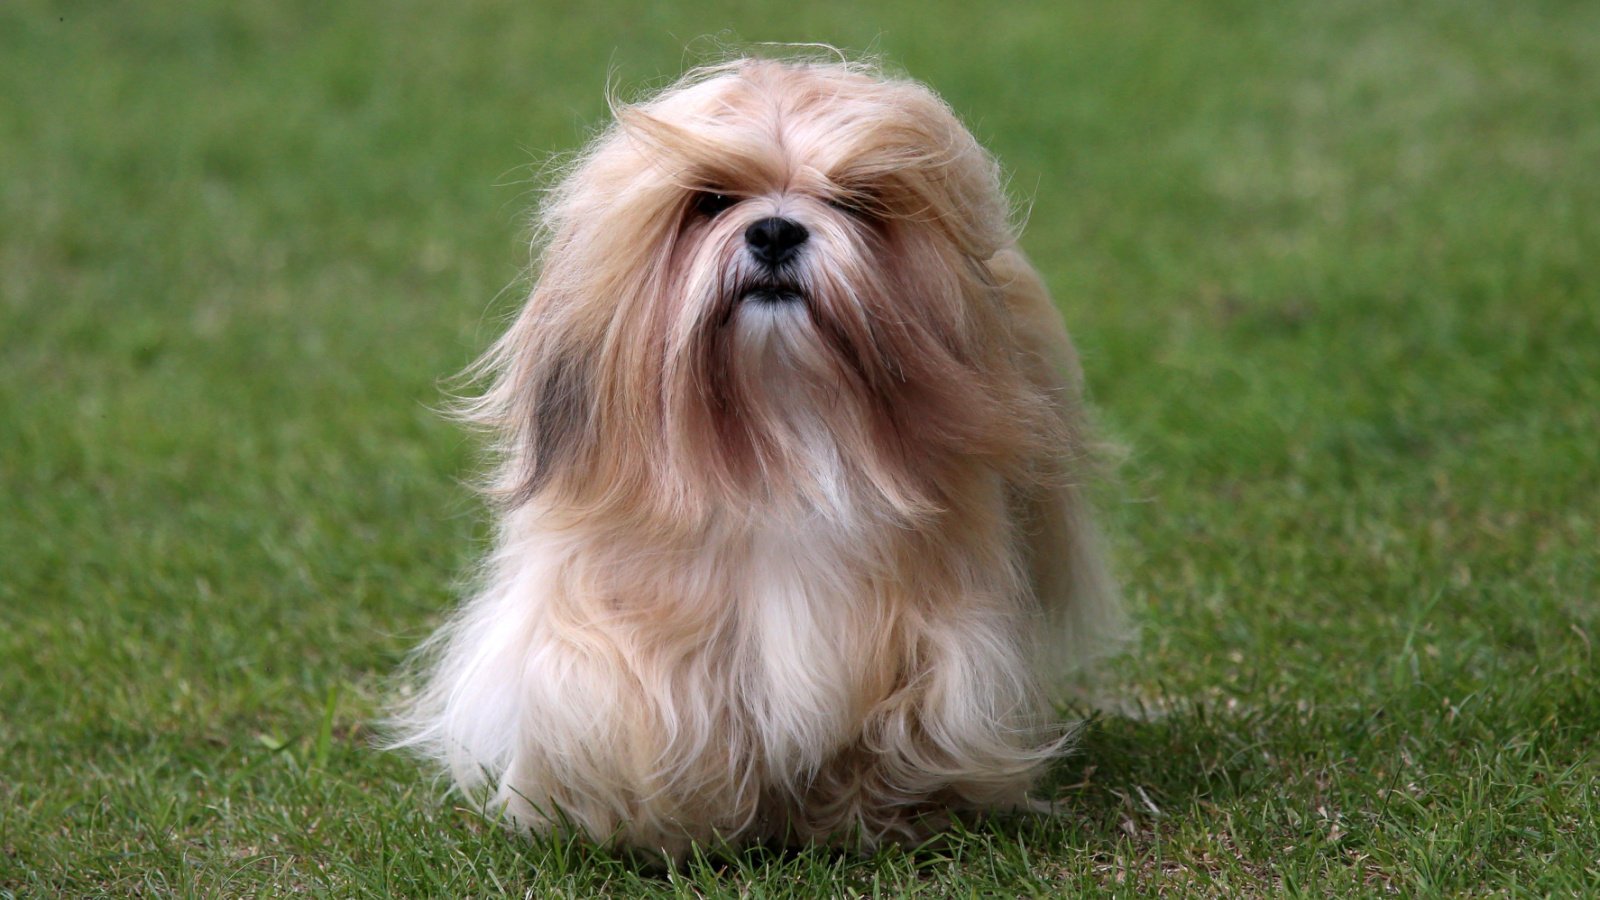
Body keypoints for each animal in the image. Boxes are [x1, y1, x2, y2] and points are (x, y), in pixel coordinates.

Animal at [390, 56, 1126, 851]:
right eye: (711, 201)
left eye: (855, 202)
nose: (775, 231)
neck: (781, 434)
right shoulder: (625, 635)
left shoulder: (932, 640)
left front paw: (871, 814)